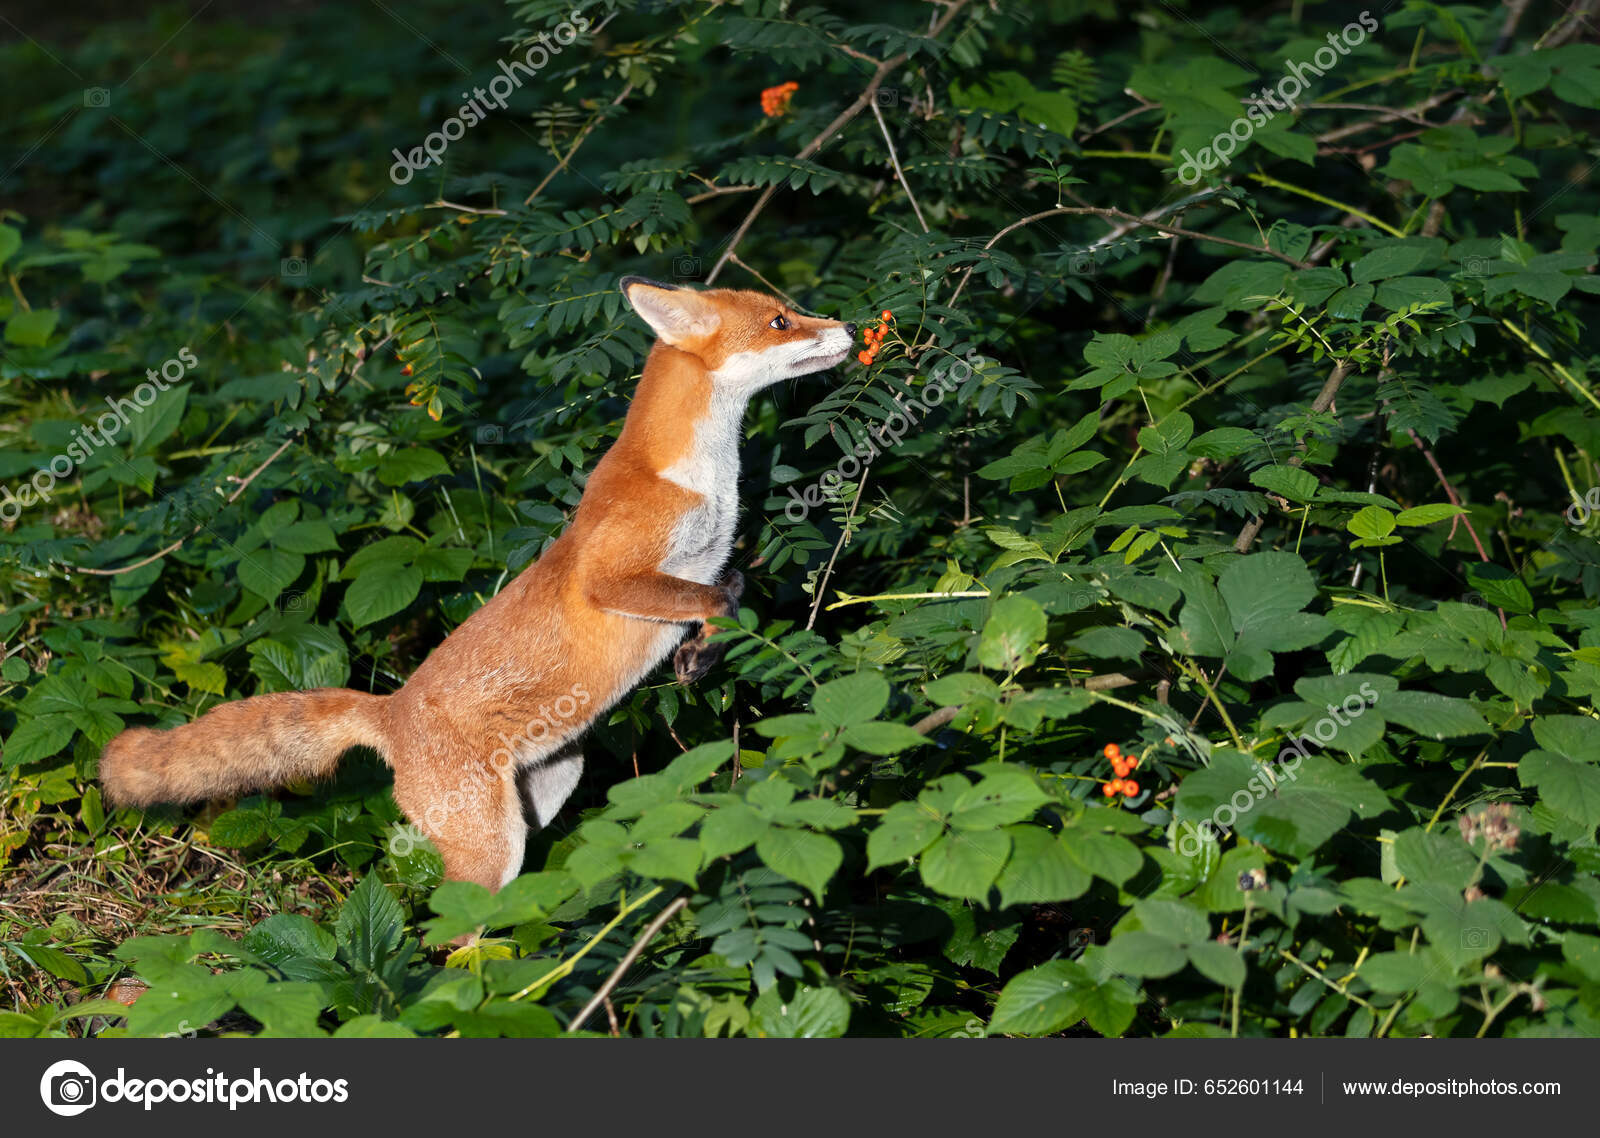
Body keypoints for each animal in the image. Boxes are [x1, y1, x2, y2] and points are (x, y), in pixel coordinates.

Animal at [100, 277, 858, 892]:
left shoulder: (708, 560)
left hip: (549, 788)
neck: (701, 477)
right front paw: (700, 648)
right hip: (491, 845)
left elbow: (733, 590)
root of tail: (389, 712)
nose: (849, 327)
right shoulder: (612, 576)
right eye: (780, 321)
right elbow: (716, 597)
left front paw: (702, 653)